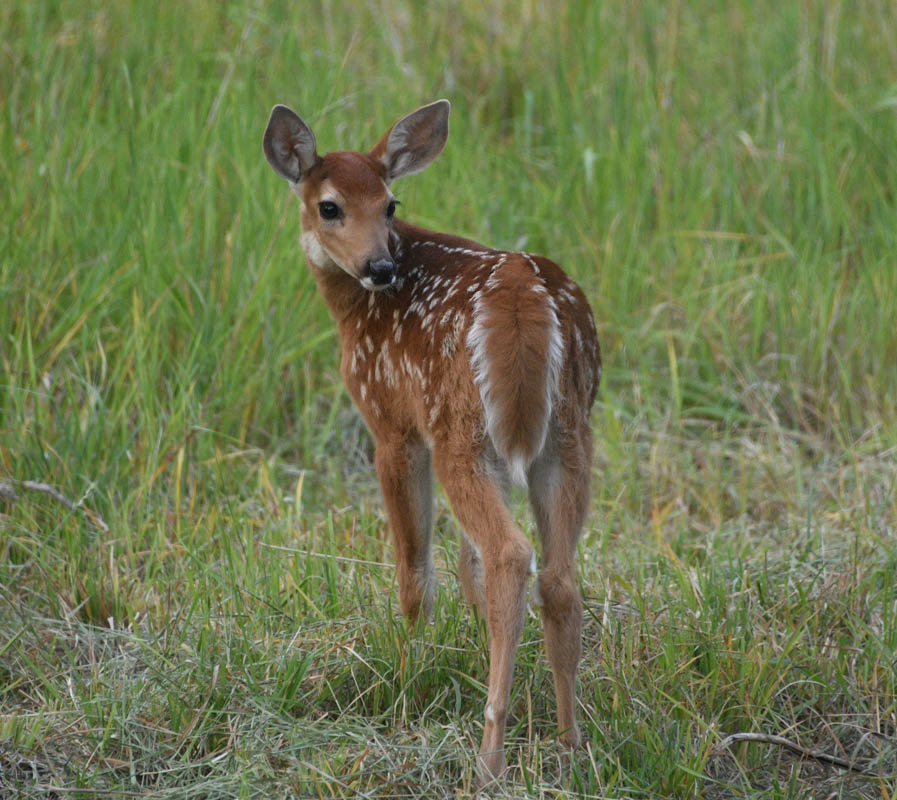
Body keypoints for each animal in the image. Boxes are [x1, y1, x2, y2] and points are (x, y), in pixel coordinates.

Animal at [263, 99, 601, 785]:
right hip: (566, 436)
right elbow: (463, 562)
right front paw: (465, 640)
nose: (380, 266)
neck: (354, 313)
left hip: (460, 434)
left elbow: (416, 562)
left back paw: (490, 759)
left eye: (390, 203)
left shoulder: (392, 422)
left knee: (509, 554)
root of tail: (526, 303)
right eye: (330, 206)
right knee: (556, 574)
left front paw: (411, 665)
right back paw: (570, 745)